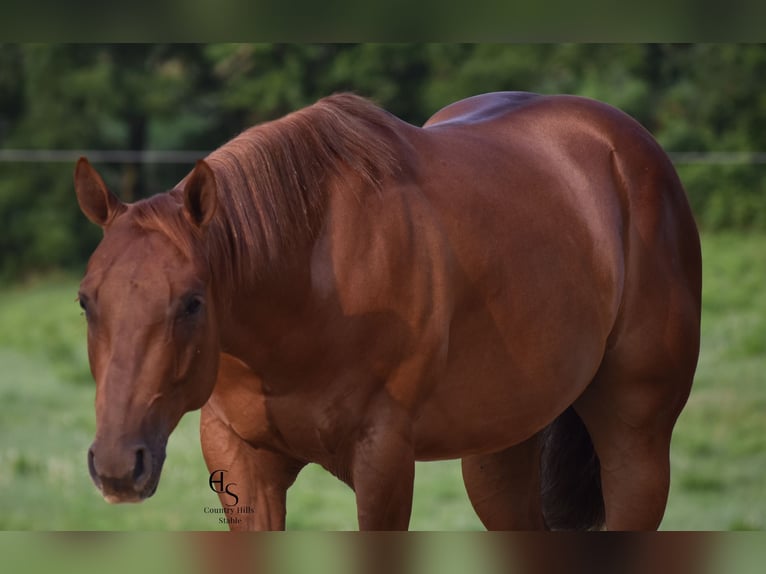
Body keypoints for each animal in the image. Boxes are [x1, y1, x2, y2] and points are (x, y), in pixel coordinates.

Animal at [75, 92, 701, 530]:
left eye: (192, 302)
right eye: (86, 301)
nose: (118, 467)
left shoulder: (383, 462)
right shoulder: (241, 461)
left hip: (636, 442)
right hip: (499, 450)